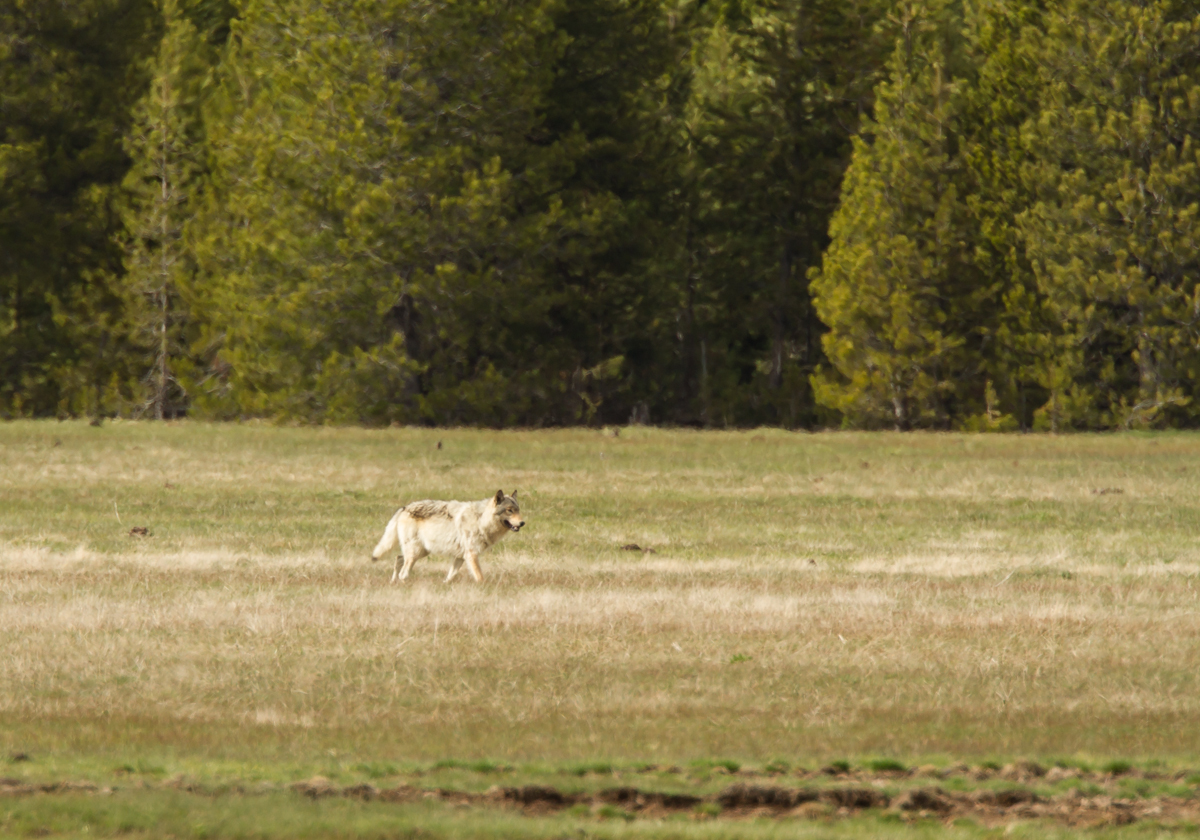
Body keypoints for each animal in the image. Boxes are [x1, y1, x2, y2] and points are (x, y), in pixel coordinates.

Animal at [370, 490, 524, 583]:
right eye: (509, 510)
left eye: (517, 510)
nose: (522, 523)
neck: (481, 520)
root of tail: (404, 508)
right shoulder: (471, 554)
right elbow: (480, 577)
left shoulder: (460, 556)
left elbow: (450, 576)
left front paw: (445, 585)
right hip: (416, 552)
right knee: (403, 572)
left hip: (421, 551)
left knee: (398, 559)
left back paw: (394, 582)